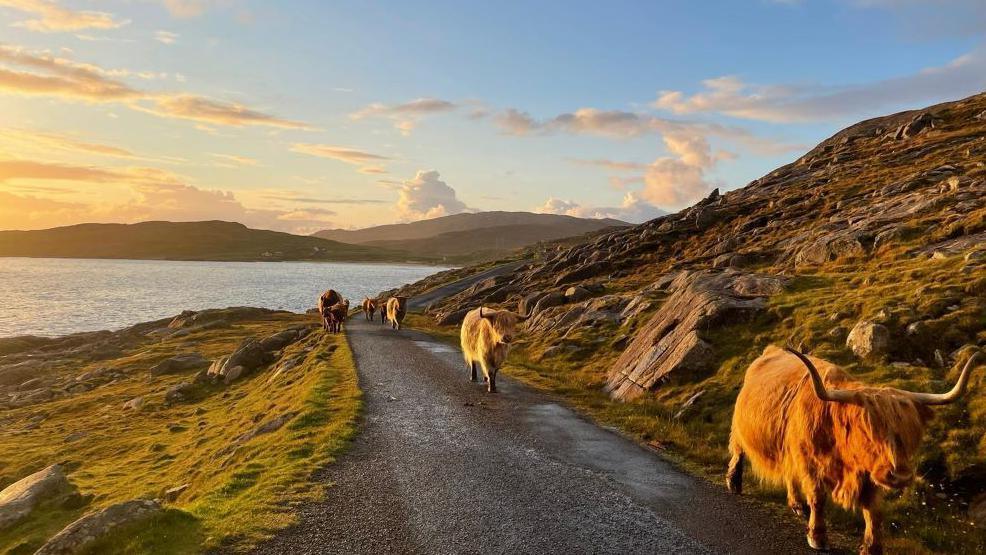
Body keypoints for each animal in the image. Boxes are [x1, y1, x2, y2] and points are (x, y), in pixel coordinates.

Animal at [728, 346, 980, 552]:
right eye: (869, 430)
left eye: (910, 431)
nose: (899, 476)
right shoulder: (810, 462)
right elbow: (818, 498)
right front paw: (817, 537)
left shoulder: (869, 472)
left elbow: (874, 511)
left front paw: (872, 547)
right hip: (741, 429)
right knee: (738, 452)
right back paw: (734, 482)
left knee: (789, 473)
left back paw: (797, 506)